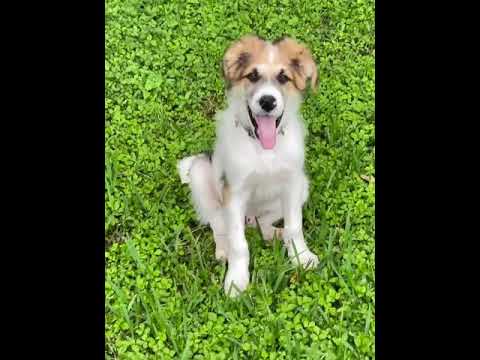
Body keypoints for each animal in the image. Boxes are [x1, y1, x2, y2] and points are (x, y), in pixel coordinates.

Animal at [176, 35, 318, 296]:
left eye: (283, 77)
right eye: (252, 75)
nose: (268, 101)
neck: (264, 150)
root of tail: (249, 219)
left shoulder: (292, 183)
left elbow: (295, 227)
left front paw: (301, 257)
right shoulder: (234, 192)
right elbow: (238, 244)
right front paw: (236, 281)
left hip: (303, 184)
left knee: (264, 223)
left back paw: (275, 234)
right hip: (201, 173)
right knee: (218, 223)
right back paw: (223, 250)